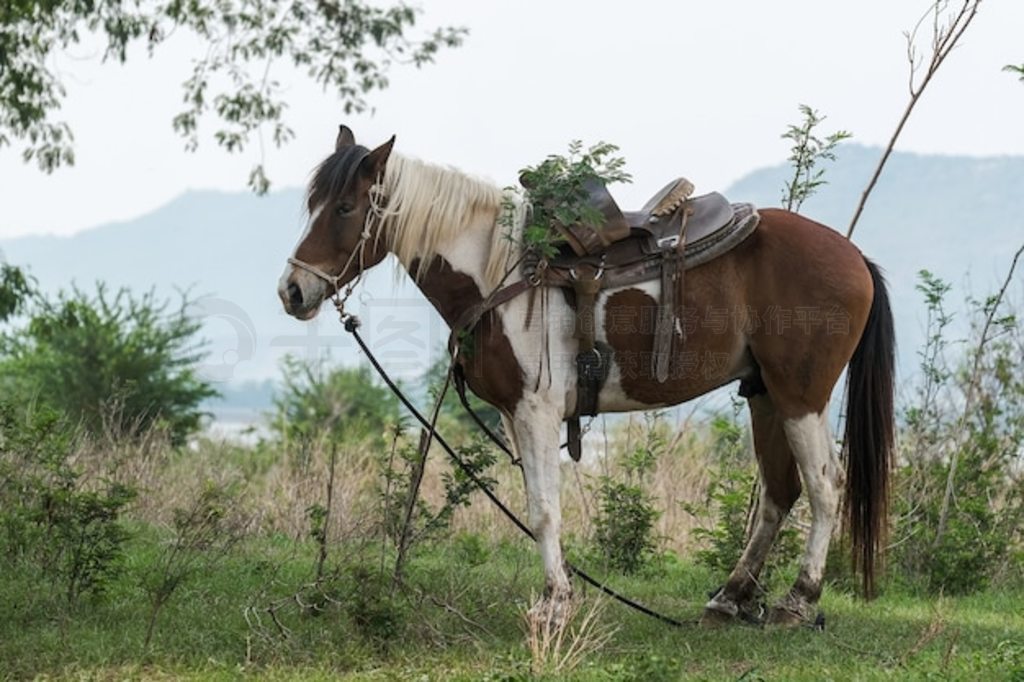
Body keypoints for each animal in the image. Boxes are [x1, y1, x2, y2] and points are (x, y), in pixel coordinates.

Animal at [276, 124, 892, 622]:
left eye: (346, 208)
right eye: (314, 203)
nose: (292, 291)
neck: (500, 274)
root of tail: (854, 256)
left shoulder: (537, 411)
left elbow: (545, 512)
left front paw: (555, 606)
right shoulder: (519, 416)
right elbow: (537, 507)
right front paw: (556, 596)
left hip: (800, 395)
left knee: (825, 486)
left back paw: (799, 600)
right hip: (763, 392)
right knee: (780, 493)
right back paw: (731, 596)